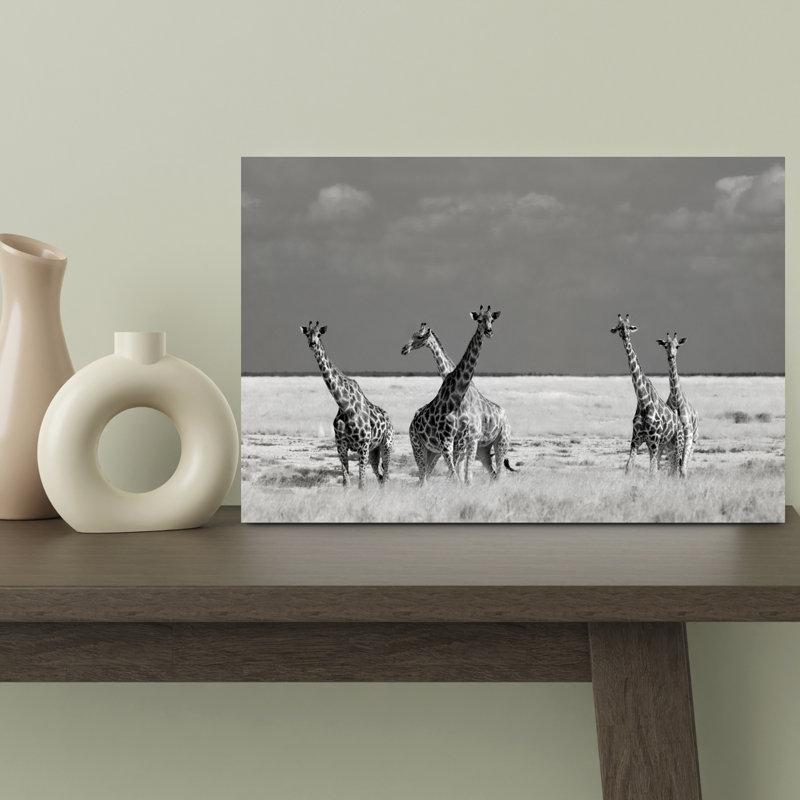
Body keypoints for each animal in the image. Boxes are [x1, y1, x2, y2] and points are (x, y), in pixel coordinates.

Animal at [301, 321, 393, 489]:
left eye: (319, 334)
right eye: (307, 334)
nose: (312, 344)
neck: (345, 406)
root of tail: (389, 419)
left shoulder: (363, 446)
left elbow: (361, 484)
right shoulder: (341, 446)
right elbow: (346, 482)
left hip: (386, 444)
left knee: (386, 477)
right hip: (374, 451)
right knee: (381, 476)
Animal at [401, 322, 514, 479]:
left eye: (419, 336)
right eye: (413, 334)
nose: (404, 349)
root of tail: (506, 416)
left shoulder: (467, 440)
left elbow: (462, 473)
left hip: (501, 440)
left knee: (498, 473)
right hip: (483, 448)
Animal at [610, 314, 684, 476]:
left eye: (629, 326)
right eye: (619, 327)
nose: (625, 335)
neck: (643, 401)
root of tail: (681, 423)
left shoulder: (654, 440)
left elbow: (653, 472)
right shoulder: (636, 440)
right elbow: (629, 467)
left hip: (677, 442)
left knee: (677, 468)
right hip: (665, 445)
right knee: (671, 467)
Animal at [656, 332, 698, 478]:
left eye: (678, 346)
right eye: (665, 346)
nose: (671, 357)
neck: (676, 401)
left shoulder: (688, 436)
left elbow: (683, 469)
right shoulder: (669, 440)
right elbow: (674, 468)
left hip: (693, 440)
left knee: (684, 465)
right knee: (673, 466)